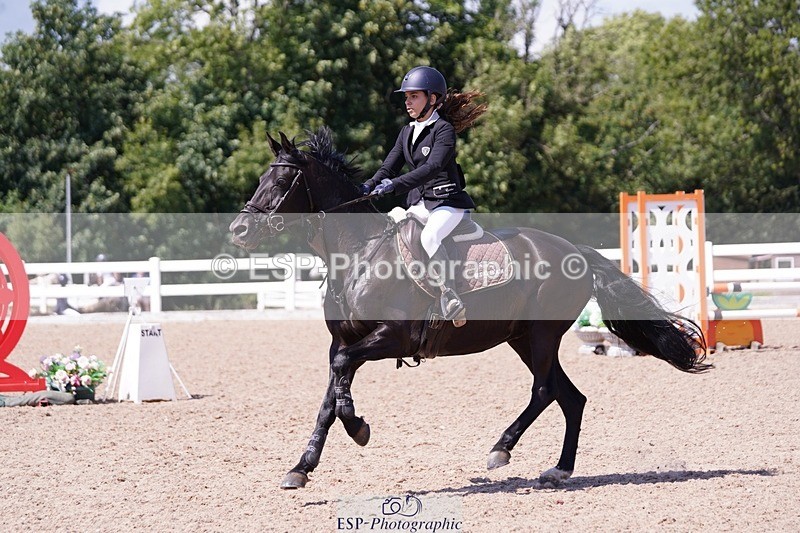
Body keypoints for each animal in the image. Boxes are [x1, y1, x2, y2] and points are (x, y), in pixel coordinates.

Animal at [229, 127, 710, 489]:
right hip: (522, 338)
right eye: (262, 178)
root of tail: (573, 250)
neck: (358, 253)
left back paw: (502, 450)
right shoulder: (342, 341)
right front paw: (301, 468)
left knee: (545, 391)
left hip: (541, 335)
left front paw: (359, 428)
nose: (238, 229)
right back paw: (558, 469)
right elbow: (330, 395)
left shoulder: (390, 337)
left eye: (280, 182)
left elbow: (343, 381)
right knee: (571, 397)